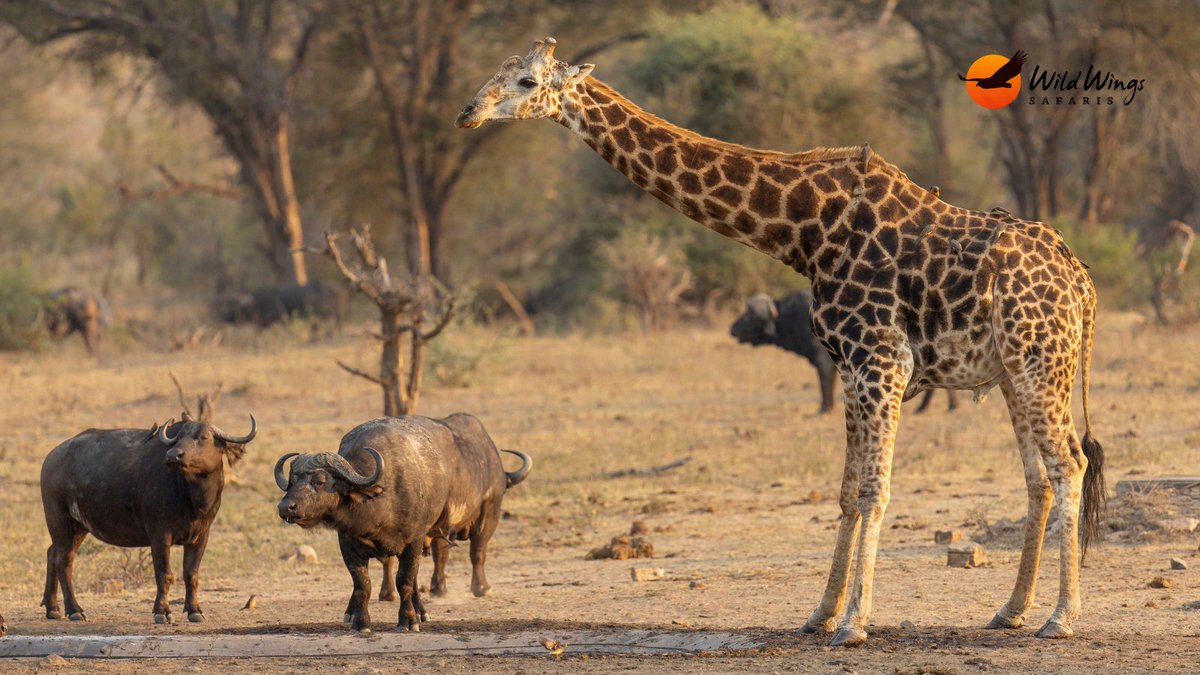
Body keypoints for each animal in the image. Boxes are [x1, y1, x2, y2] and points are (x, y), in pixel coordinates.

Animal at [456, 38, 1106, 647]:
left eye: (527, 80)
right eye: (496, 71)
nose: (468, 111)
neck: (806, 232)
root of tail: (1082, 282)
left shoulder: (881, 361)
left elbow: (874, 491)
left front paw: (855, 623)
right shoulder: (848, 368)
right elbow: (847, 493)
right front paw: (820, 614)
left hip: (1040, 363)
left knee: (1069, 464)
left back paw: (1062, 618)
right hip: (1013, 372)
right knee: (1039, 476)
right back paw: (1010, 610)